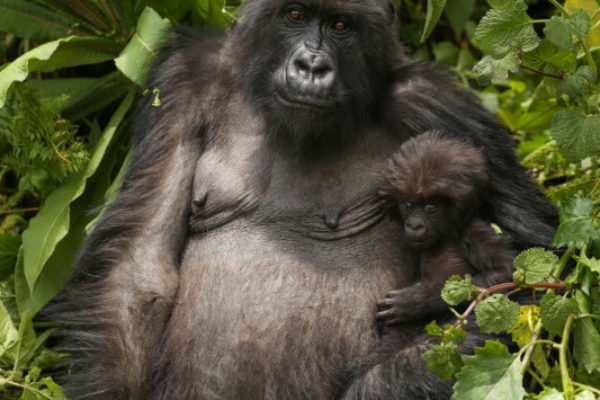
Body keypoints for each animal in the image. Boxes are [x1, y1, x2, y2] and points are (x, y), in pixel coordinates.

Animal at [376, 131, 516, 324]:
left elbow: (505, 272)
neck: (446, 232)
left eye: (430, 208)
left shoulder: (471, 232)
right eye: (408, 204)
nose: (414, 225)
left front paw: (417, 300)